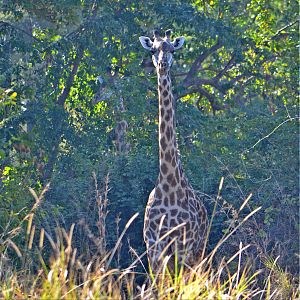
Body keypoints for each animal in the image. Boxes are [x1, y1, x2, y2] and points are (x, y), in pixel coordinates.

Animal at [139, 29, 207, 272]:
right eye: (152, 50)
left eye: (172, 49)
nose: (162, 65)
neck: (168, 183)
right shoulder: (153, 245)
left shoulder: (183, 245)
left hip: (198, 251)